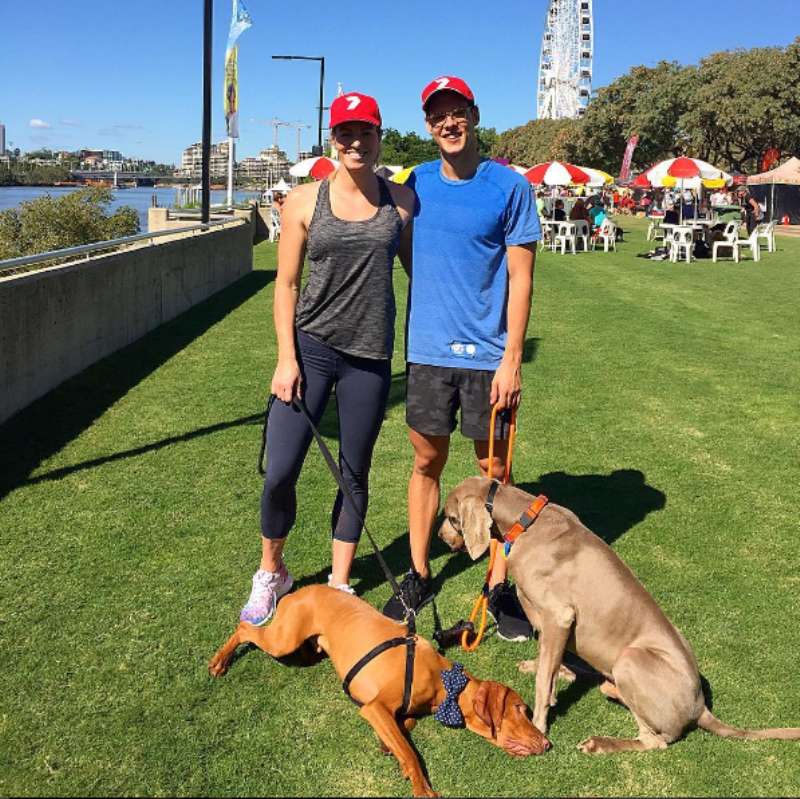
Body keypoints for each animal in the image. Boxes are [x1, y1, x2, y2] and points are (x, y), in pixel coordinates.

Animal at [208, 584, 552, 796]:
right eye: (521, 710)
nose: (547, 743)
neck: (444, 683)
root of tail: (298, 591)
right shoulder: (373, 707)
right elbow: (410, 752)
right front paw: (422, 787)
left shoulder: (396, 711)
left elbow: (403, 728)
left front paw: (389, 745)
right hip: (283, 640)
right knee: (245, 629)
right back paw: (220, 661)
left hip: (308, 649)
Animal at [438, 476, 800, 756]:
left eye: (451, 517)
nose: (440, 537)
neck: (525, 520)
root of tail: (700, 705)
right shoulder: (553, 622)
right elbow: (548, 664)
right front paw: (545, 672)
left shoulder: (559, 615)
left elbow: (544, 680)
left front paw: (539, 725)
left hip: (631, 659)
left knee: (655, 741)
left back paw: (601, 741)